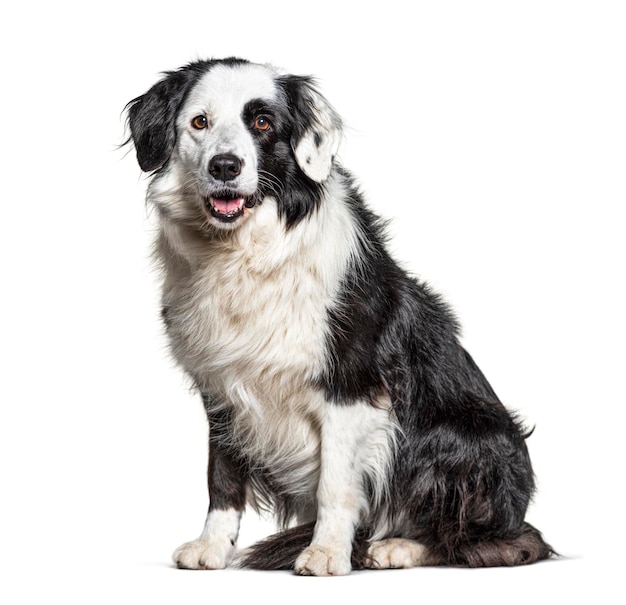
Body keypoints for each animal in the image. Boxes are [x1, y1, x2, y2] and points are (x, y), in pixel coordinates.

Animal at [123, 55, 552, 572]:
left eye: (262, 123)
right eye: (199, 122)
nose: (225, 165)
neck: (245, 254)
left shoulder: (352, 387)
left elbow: (335, 483)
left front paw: (327, 552)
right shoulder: (221, 386)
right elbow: (221, 475)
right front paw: (212, 546)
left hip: (461, 434)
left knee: (496, 539)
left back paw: (397, 546)